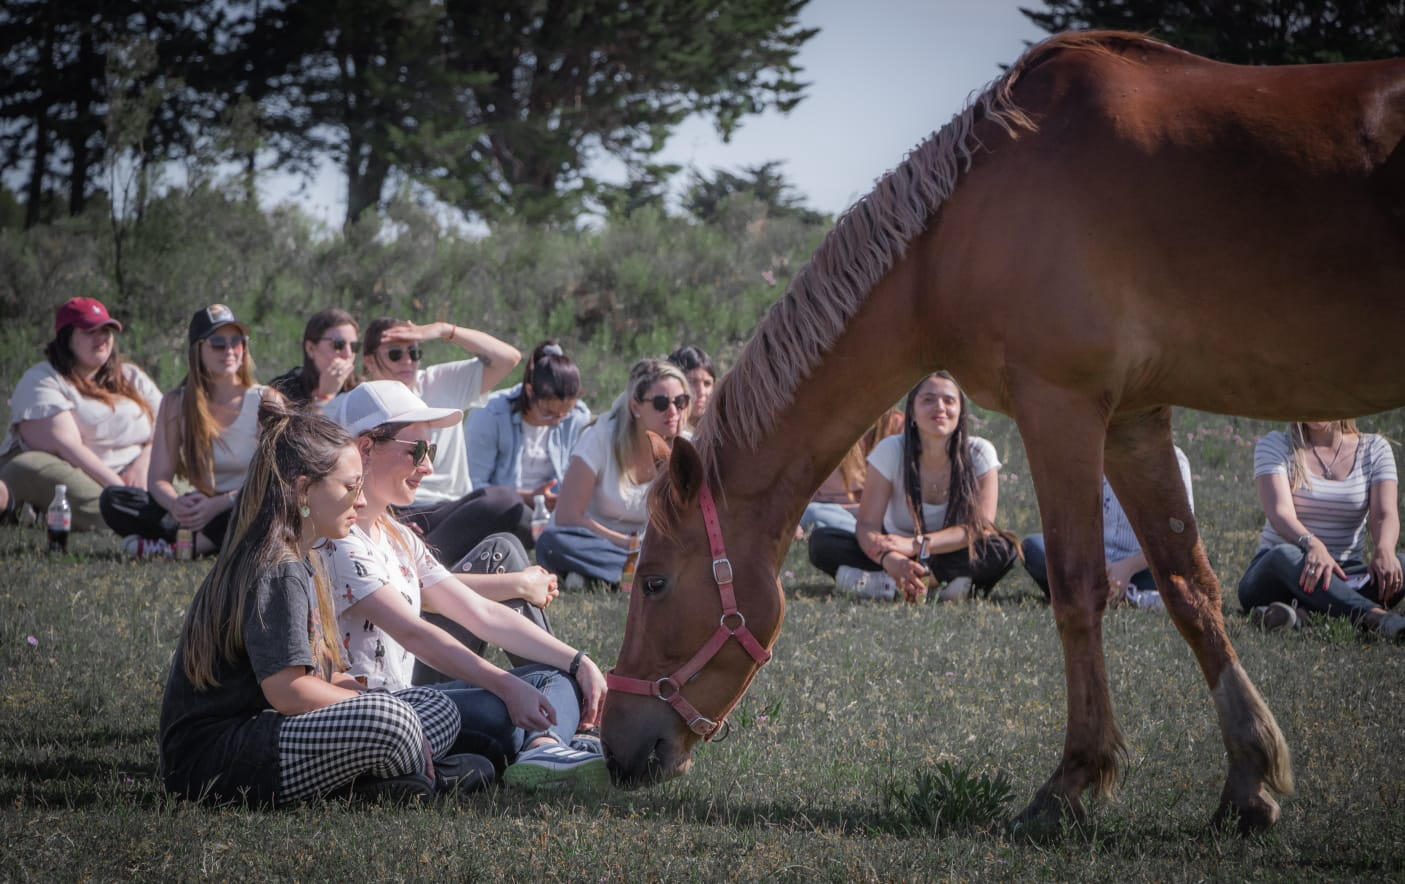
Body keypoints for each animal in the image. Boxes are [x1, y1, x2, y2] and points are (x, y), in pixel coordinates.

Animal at [600, 30, 1405, 833]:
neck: (958, 227)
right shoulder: (1134, 419)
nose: (614, 748)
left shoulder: (1061, 406)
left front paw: (1072, 783)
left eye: (655, 582)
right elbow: (1188, 586)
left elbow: (1078, 590)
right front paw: (1249, 782)